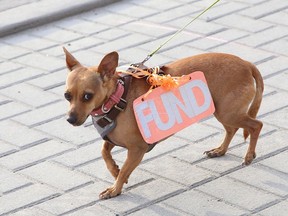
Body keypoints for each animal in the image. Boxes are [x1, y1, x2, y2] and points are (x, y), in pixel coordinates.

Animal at [64, 48, 264, 199]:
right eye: (67, 96)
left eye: (87, 96)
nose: (70, 119)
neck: (116, 98)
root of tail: (246, 64)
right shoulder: (113, 138)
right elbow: (104, 151)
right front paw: (113, 170)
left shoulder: (137, 150)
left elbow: (124, 171)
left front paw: (115, 188)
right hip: (222, 112)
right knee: (232, 129)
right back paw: (220, 150)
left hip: (228, 113)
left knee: (256, 125)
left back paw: (249, 155)